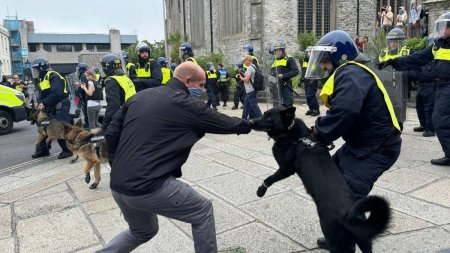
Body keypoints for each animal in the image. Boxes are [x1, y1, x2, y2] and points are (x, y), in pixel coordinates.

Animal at [253, 106, 390, 253]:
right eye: (264, 114)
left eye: (268, 117)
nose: (250, 121)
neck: (291, 132)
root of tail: (351, 218)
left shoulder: (286, 169)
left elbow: (269, 178)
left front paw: (261, 190)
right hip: (364, 240)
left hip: (335, 240)